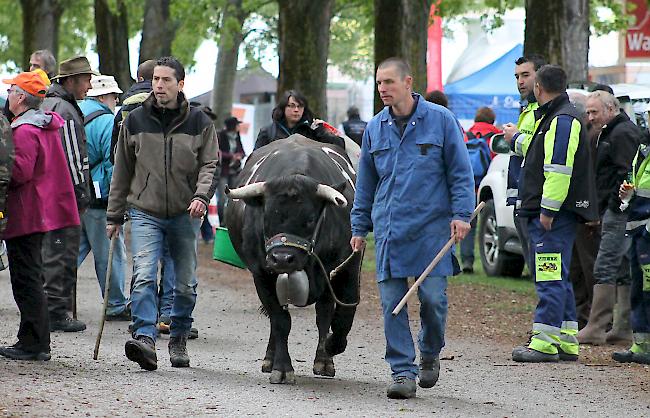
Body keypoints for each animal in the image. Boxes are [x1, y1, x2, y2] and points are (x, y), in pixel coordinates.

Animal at [224, 136, 360, 384]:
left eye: (310, 219)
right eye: (267, 217)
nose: (282, 258)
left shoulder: (348, 267)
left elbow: (343, 317)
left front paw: (331, 348)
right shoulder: (261, 274)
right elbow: (280, 320)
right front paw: (282, 367)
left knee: (324, 314)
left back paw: (323, 359)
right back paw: (270, 357)